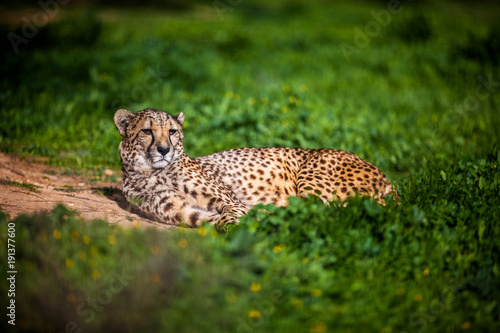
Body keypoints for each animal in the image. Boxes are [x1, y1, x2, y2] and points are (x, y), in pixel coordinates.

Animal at [114, 107, 398, 227]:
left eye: (172, 131)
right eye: (147, 131)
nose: (164, 150)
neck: (154, 172)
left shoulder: (232, 202)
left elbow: (231, 217)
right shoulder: (188, 214)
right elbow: (216, 222)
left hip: (310, 179)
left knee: (328, 211)